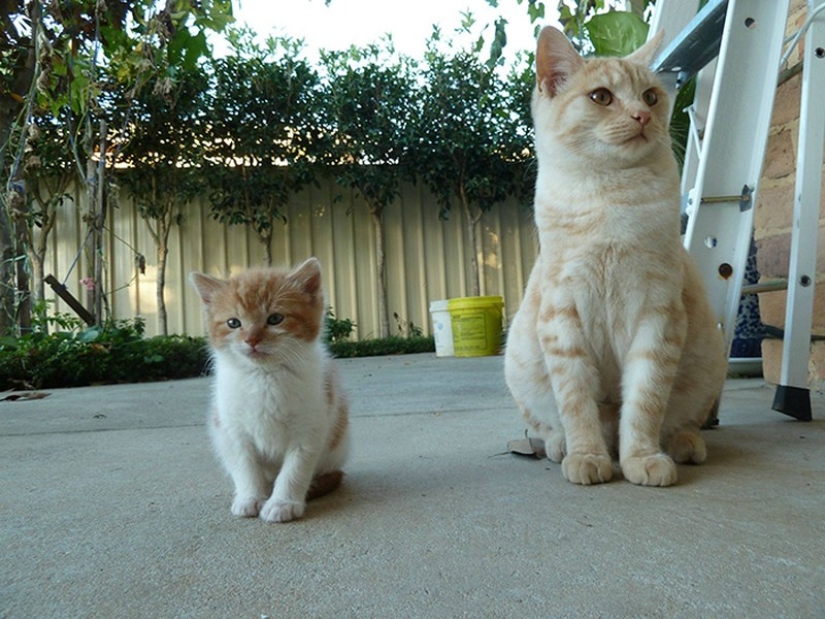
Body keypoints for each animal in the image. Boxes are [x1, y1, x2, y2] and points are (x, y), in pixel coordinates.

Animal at [190, 258, 348, 524]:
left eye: (275, 318)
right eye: (233, 322)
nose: (252, 340)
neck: (264, 376)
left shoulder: (310, 426)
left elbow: (295, 467)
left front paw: (282, 503)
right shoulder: (232, 429)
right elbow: (245, 465)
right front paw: (250, 497)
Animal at [502, 26, 728, 486]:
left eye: (651, 97)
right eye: (601, 97)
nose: (642, 116)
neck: (611, 198)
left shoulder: (657, 315)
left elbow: (644, 402)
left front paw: (641, 458)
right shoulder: (562, 316)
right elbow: (577, 403)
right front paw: (587, 456)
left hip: (710, 364)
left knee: (683, 421)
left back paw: (683, 445)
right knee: (551, 427)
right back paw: (563, 446)